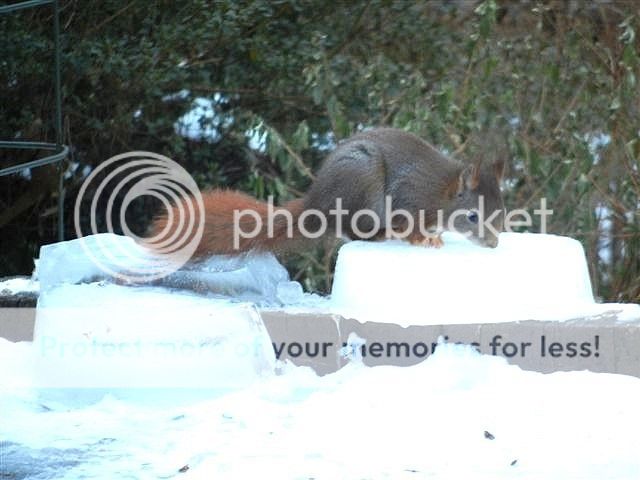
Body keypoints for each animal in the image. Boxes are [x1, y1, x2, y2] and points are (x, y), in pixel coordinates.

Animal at [150, 126, 504, 255]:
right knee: (355, 231)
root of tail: (316, 204)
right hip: (364, 187)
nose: (493, 243)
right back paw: (382, 234)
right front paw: (425, 239)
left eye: (500, 212)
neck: (443, 193)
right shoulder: (410, 196)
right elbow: (410, 224)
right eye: (473, 216)